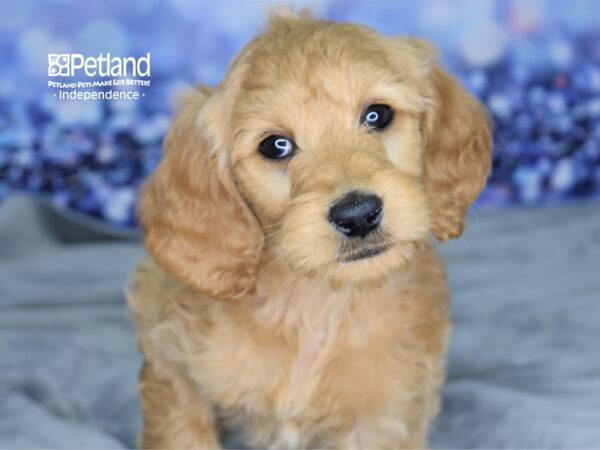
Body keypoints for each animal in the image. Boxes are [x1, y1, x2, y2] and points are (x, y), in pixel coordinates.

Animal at [126, 8, 492, 448]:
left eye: (377, 114)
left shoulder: (382, 415)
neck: (314, 302)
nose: (358, 214)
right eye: (275, 145)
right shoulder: (173, 365)